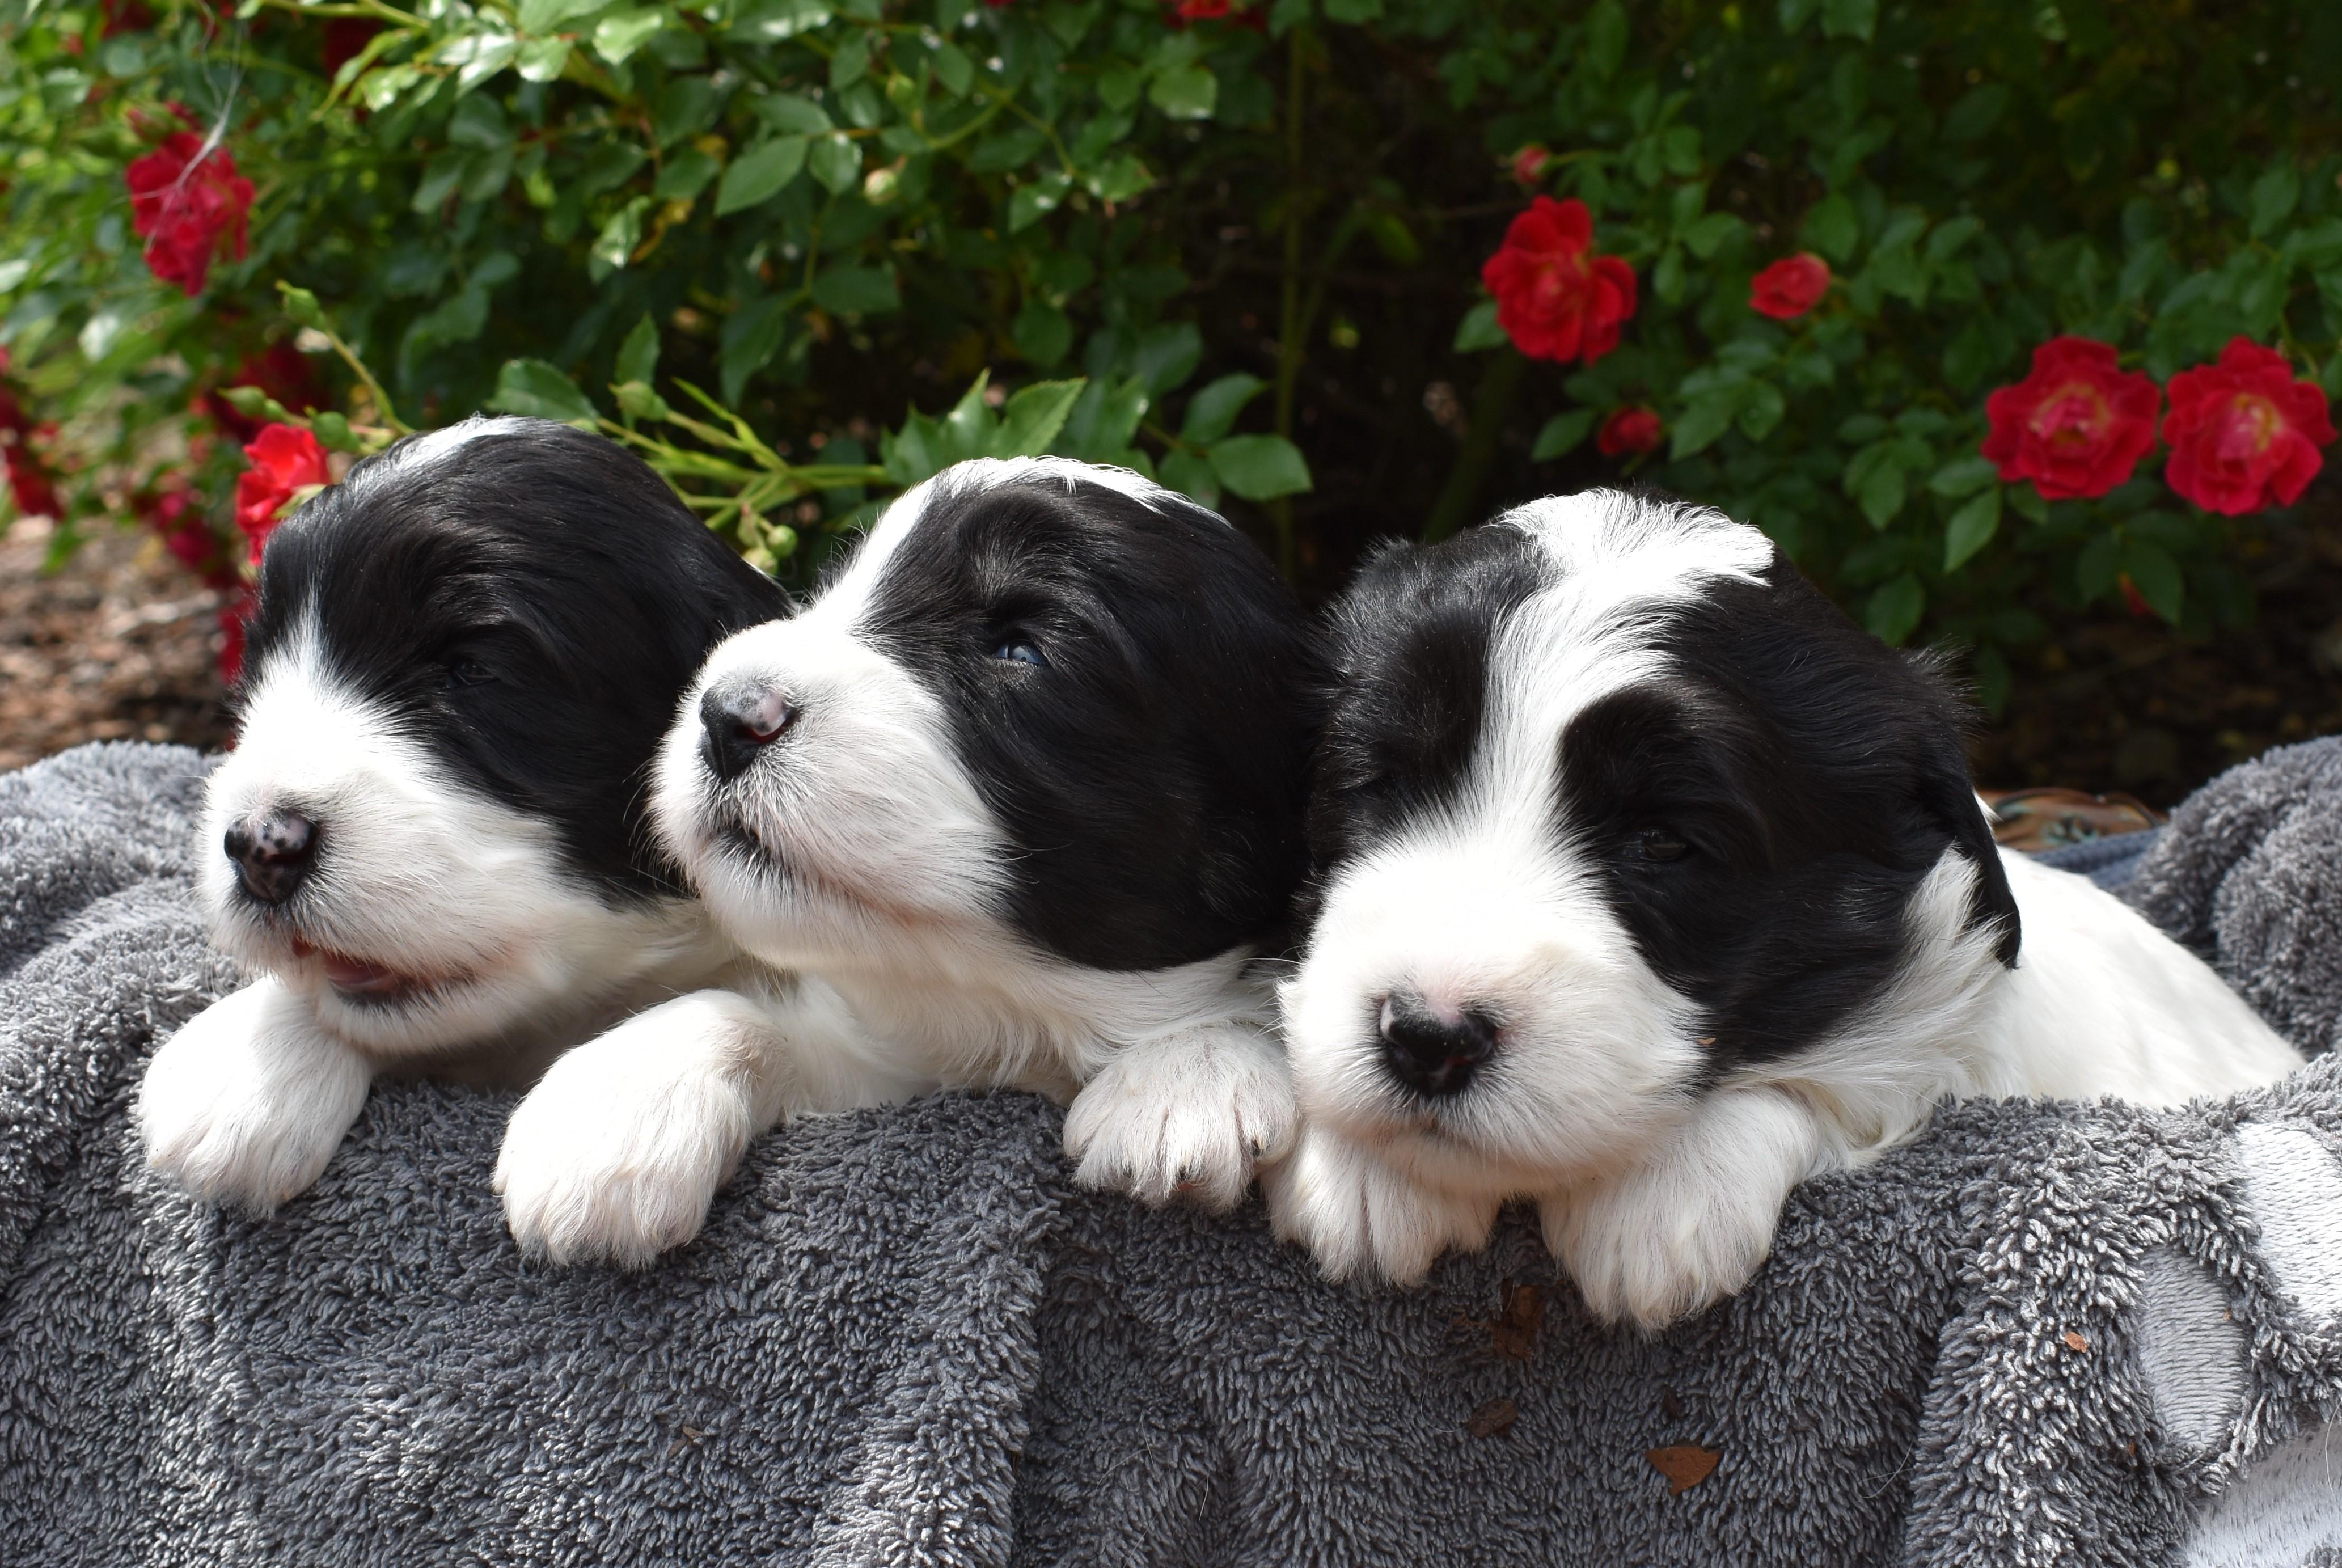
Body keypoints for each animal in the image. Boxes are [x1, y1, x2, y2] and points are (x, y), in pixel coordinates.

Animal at [492, 457, 1320, 1265]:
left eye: (1020, 649)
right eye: (831, 592)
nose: (728, 713)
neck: (1007, 1027)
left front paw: (1190, 1073)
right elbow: (748, 1013)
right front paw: (612, 1109)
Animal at [1266, 489, 2304, 1330]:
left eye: (1663, 843)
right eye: (1376, 784)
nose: (1428, 1037)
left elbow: (1857, 1062)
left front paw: (1662, 1199)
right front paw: (1365, 1170)